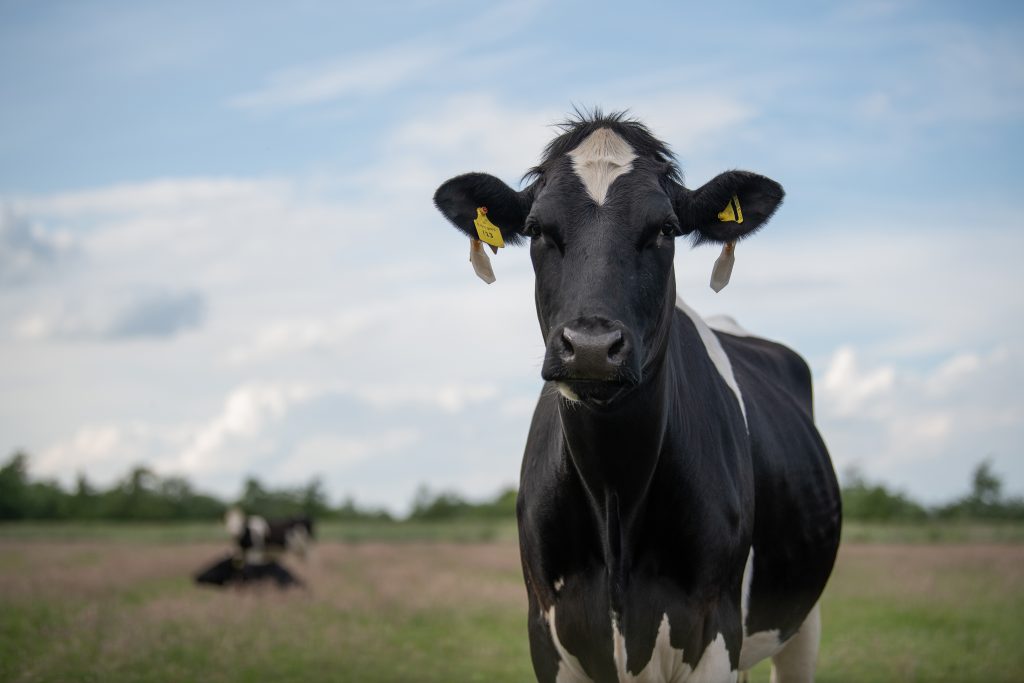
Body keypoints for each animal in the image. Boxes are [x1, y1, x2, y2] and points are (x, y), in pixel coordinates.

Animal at [432, 113, 839, 683]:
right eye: (535, 229)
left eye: (665, 229)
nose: (591, 347)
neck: (615, 496)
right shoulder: (546, 633)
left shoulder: (715, 632)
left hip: (803, 621)